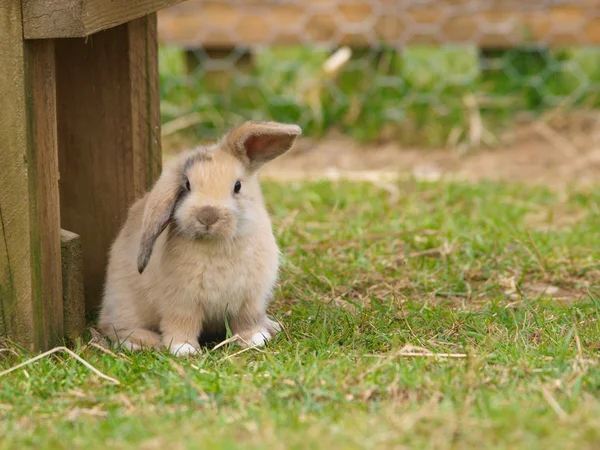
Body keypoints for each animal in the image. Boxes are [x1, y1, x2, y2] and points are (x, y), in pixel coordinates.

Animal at [100, 121, 302, 356]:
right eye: (187, 185)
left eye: (237, 186)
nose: (207, 215)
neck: (217, 243)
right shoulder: (181, 302)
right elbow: (182, 323)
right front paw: (183, 349)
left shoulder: (250, 300)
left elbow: (246, 321)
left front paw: (255, 339)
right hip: (125, 306)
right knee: (116, 328)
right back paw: (143, 341)